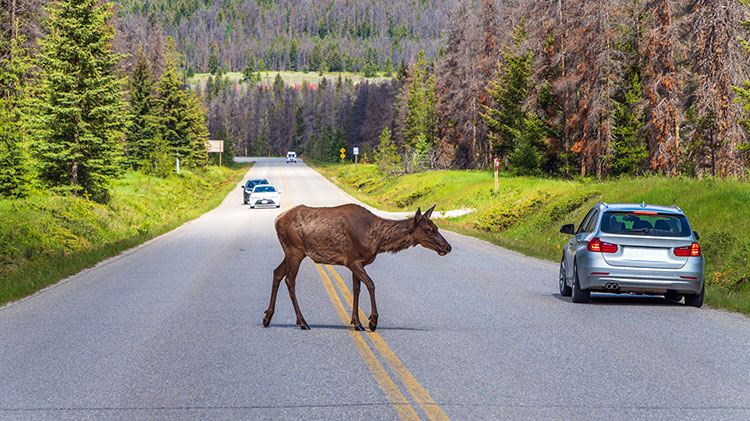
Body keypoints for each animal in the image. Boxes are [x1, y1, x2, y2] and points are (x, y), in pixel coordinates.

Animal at [263, 203, 452, 331]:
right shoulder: (352, 260)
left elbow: (356, 289)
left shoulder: (358, 263)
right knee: (290, 280)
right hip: (294, 250)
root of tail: (276, 220)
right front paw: (372, 321)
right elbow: (371, 284)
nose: (448, 247)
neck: (378, 240)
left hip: (292, 252)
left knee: (277, 273)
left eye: (436, 227)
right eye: (428, 229)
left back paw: (267, 317)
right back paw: (302, 322)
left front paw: (357, 322)